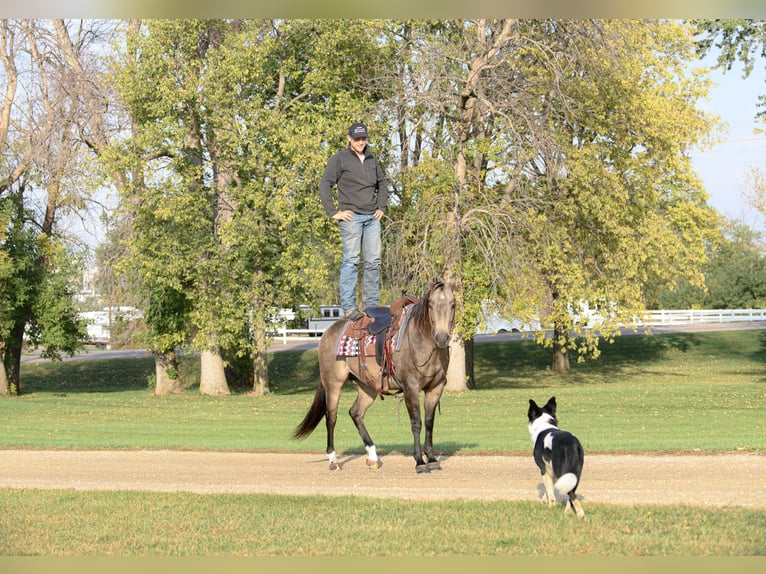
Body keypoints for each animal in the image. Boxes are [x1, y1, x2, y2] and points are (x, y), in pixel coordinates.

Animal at [293, 281, 456, 473]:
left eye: (453, 304)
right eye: (430, 304)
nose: (442, 337)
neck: (420, 341)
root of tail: (327, 332)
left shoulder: (436, 387)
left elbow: (430, 422)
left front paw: (431, 458)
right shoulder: (411, 388)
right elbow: (416, 423)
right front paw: (419, 462)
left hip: (367, 387)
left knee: (356, 413)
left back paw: (372, 457)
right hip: (333, 384)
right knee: (331, 418)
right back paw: (333, 459)